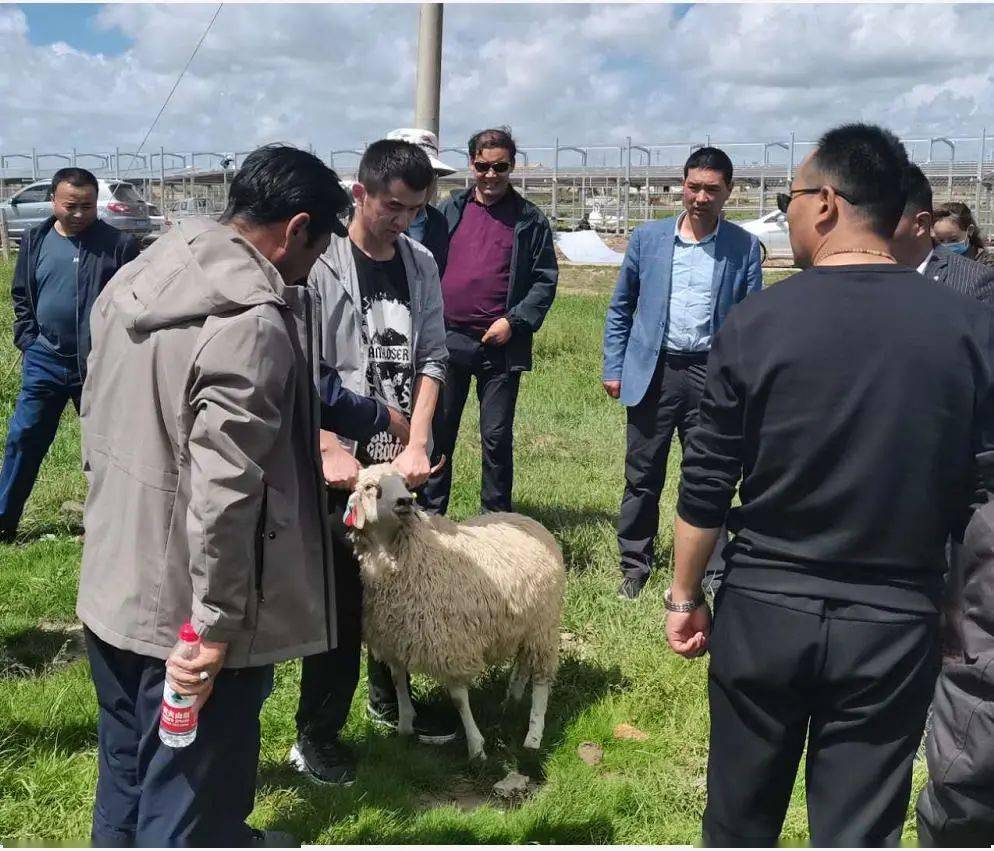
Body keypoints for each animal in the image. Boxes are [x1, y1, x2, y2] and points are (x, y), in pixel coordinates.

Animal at [344, 462, 564, 764]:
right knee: (523, 662)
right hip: (526, 622)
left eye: (405, 483)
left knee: (541, 679)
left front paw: (476, 746)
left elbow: (459, 699)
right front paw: (404, 726)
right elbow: (399, 682)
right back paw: (512, 699)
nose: (405, 501)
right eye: (369, 487)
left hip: (544, 624)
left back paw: (533, 735)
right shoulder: (395, 639)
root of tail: (531, 522)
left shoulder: (452, 644)